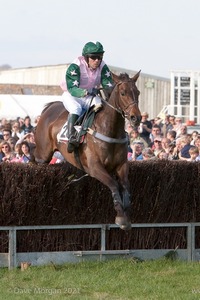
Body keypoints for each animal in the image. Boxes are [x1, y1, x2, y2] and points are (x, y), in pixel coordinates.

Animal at [33, 71, 141, 231]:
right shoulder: (94, 167)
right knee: (34, 156)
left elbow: (126, 186)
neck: (109, 129)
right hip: (43, 153)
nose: (136, 118)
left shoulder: (122, 165)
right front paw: (121, 217)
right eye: (123, 93)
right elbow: (114, 185)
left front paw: (126, 215)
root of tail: (50, 107)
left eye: (138, 92)